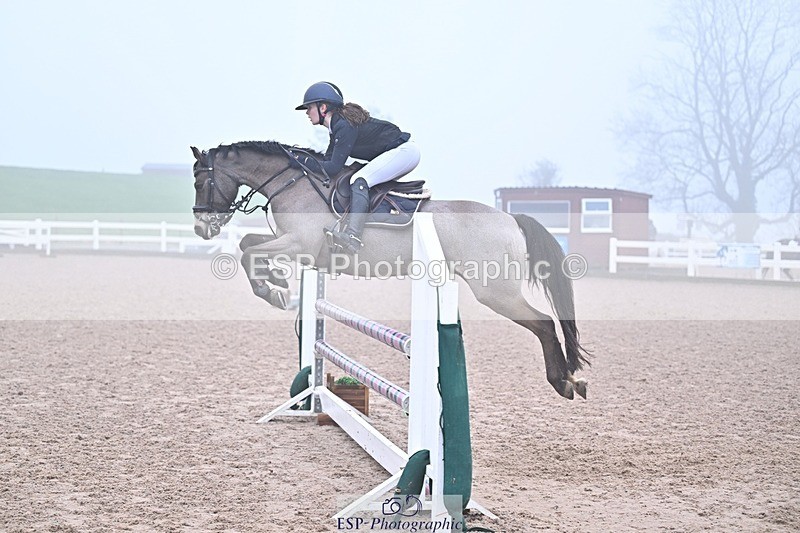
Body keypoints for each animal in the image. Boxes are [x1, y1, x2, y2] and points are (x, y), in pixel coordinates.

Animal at [190, 141, 590, 400]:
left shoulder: (298, 244)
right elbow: (248, 245)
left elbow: (248, 253)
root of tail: (510, 218)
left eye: (200, 181)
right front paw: (276, 281)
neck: (293, 183)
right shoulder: (296, 247)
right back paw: (570, 379)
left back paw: (564, 382)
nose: (201, 229)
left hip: (496, 291)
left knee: (543, 323)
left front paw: (273, 290)